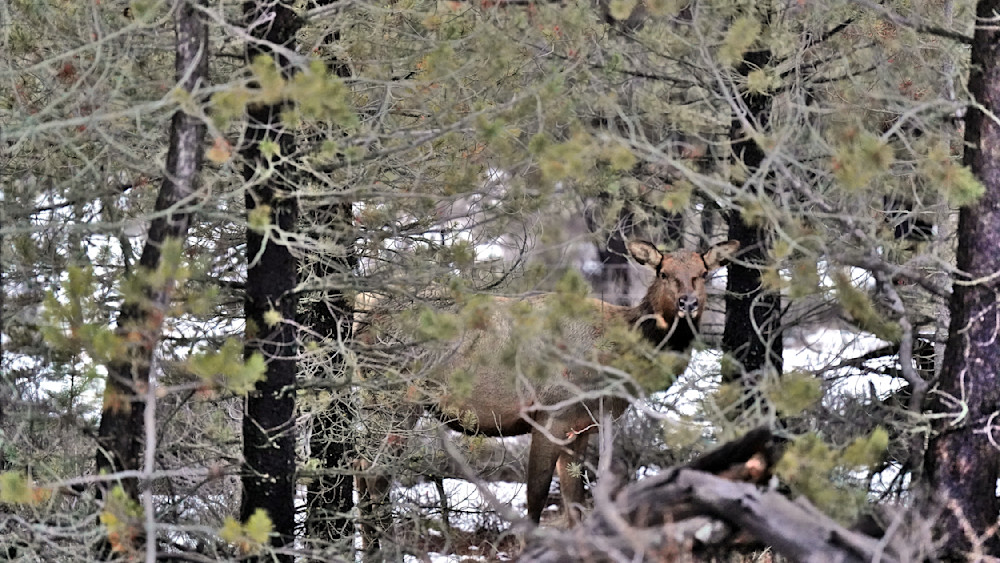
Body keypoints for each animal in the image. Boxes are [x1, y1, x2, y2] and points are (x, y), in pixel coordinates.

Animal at [354, 239, 739, 554]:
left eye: (703, 273)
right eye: (663, 272)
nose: (688, 303)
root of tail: (365, 320)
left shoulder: (581, 425)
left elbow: (576, 500)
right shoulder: (551, 412)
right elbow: (536, 497)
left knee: (357, 465)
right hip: (397, 397)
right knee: (376, 473)